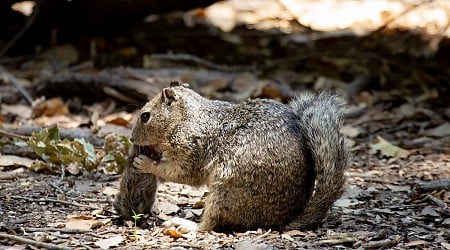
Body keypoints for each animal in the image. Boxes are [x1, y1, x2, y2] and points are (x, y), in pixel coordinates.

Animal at [128, 81, 350, 231]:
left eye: (145, 116)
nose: (131, 139)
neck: (187, 118)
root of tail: (283, 221)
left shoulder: (191, 150)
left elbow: (178, 173)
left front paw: (145, 163)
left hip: (227, 190)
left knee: (210, 225)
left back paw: (183, 224)